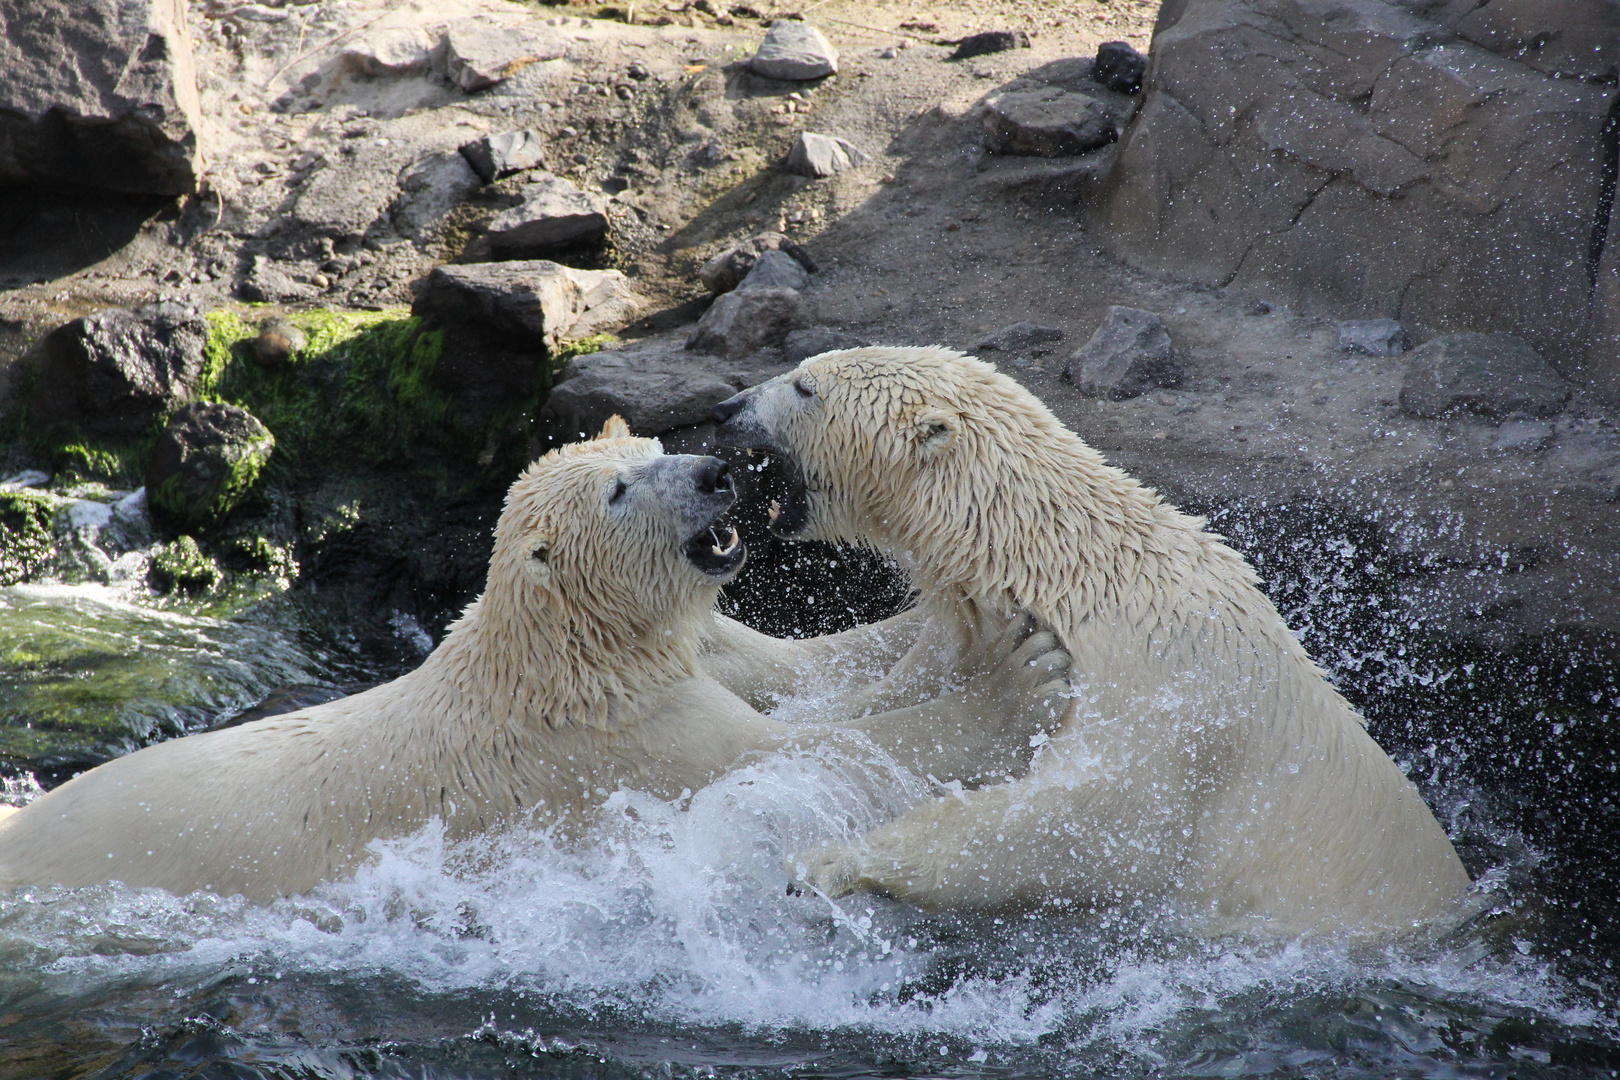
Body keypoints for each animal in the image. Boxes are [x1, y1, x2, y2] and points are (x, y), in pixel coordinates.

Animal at [0, 417, 1069, 900]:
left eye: (653, 444)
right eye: (620, 490)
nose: (718, 474)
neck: (563, 657)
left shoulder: (677, 660)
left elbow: (800, 675)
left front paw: (970, 619)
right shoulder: (617, 744)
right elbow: (797, 753)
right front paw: (1020, 680)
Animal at [716, 346, 1477, 939]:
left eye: (805, 386)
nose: (727, 406)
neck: (1062, 570)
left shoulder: (1156, 687)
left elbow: (1091, 826)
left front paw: (831, 859)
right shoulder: (967, 628)